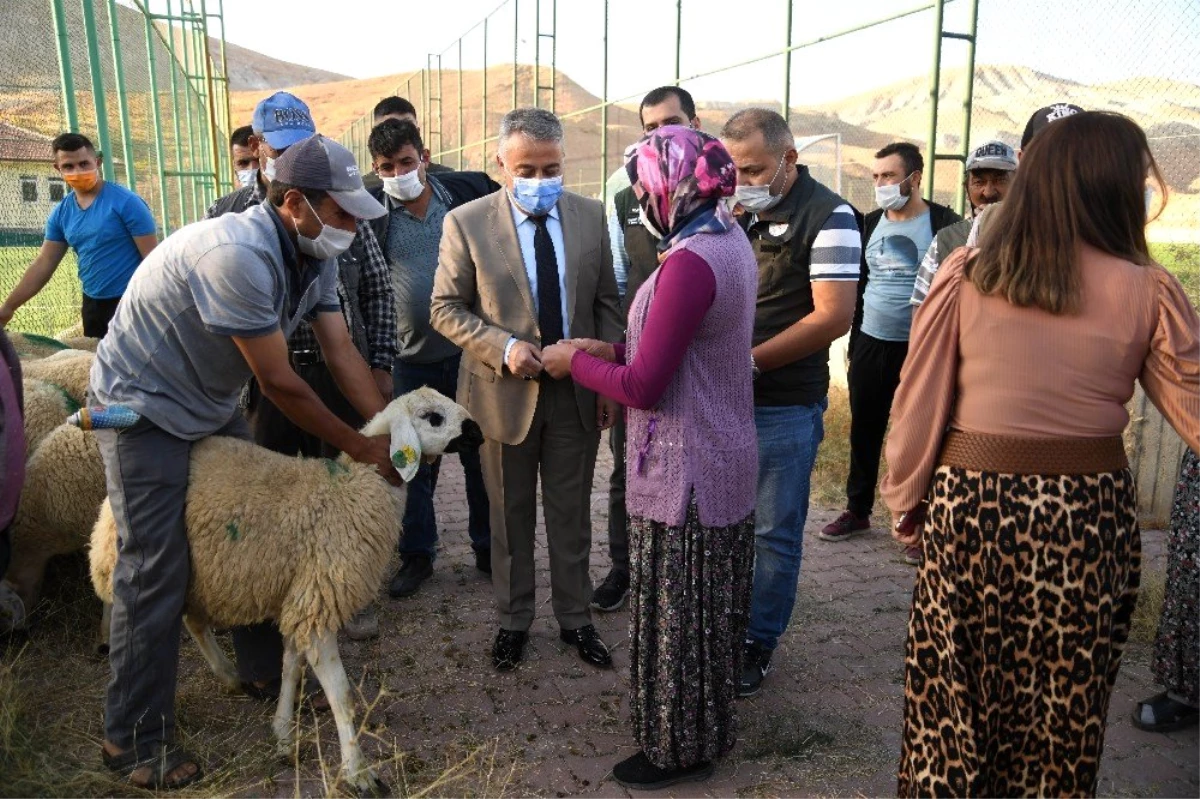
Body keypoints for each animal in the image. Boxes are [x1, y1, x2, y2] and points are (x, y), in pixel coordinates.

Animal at [88, 386, 482, 791]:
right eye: (433, 417)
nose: (479, 434)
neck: (347, 494)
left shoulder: (302, 598)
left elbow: (291, 665)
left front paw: (283, 733)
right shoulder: (318, 604)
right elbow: (342, 695)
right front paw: (358, 773)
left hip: (202, 577)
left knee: (193, 621)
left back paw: (229, 675)